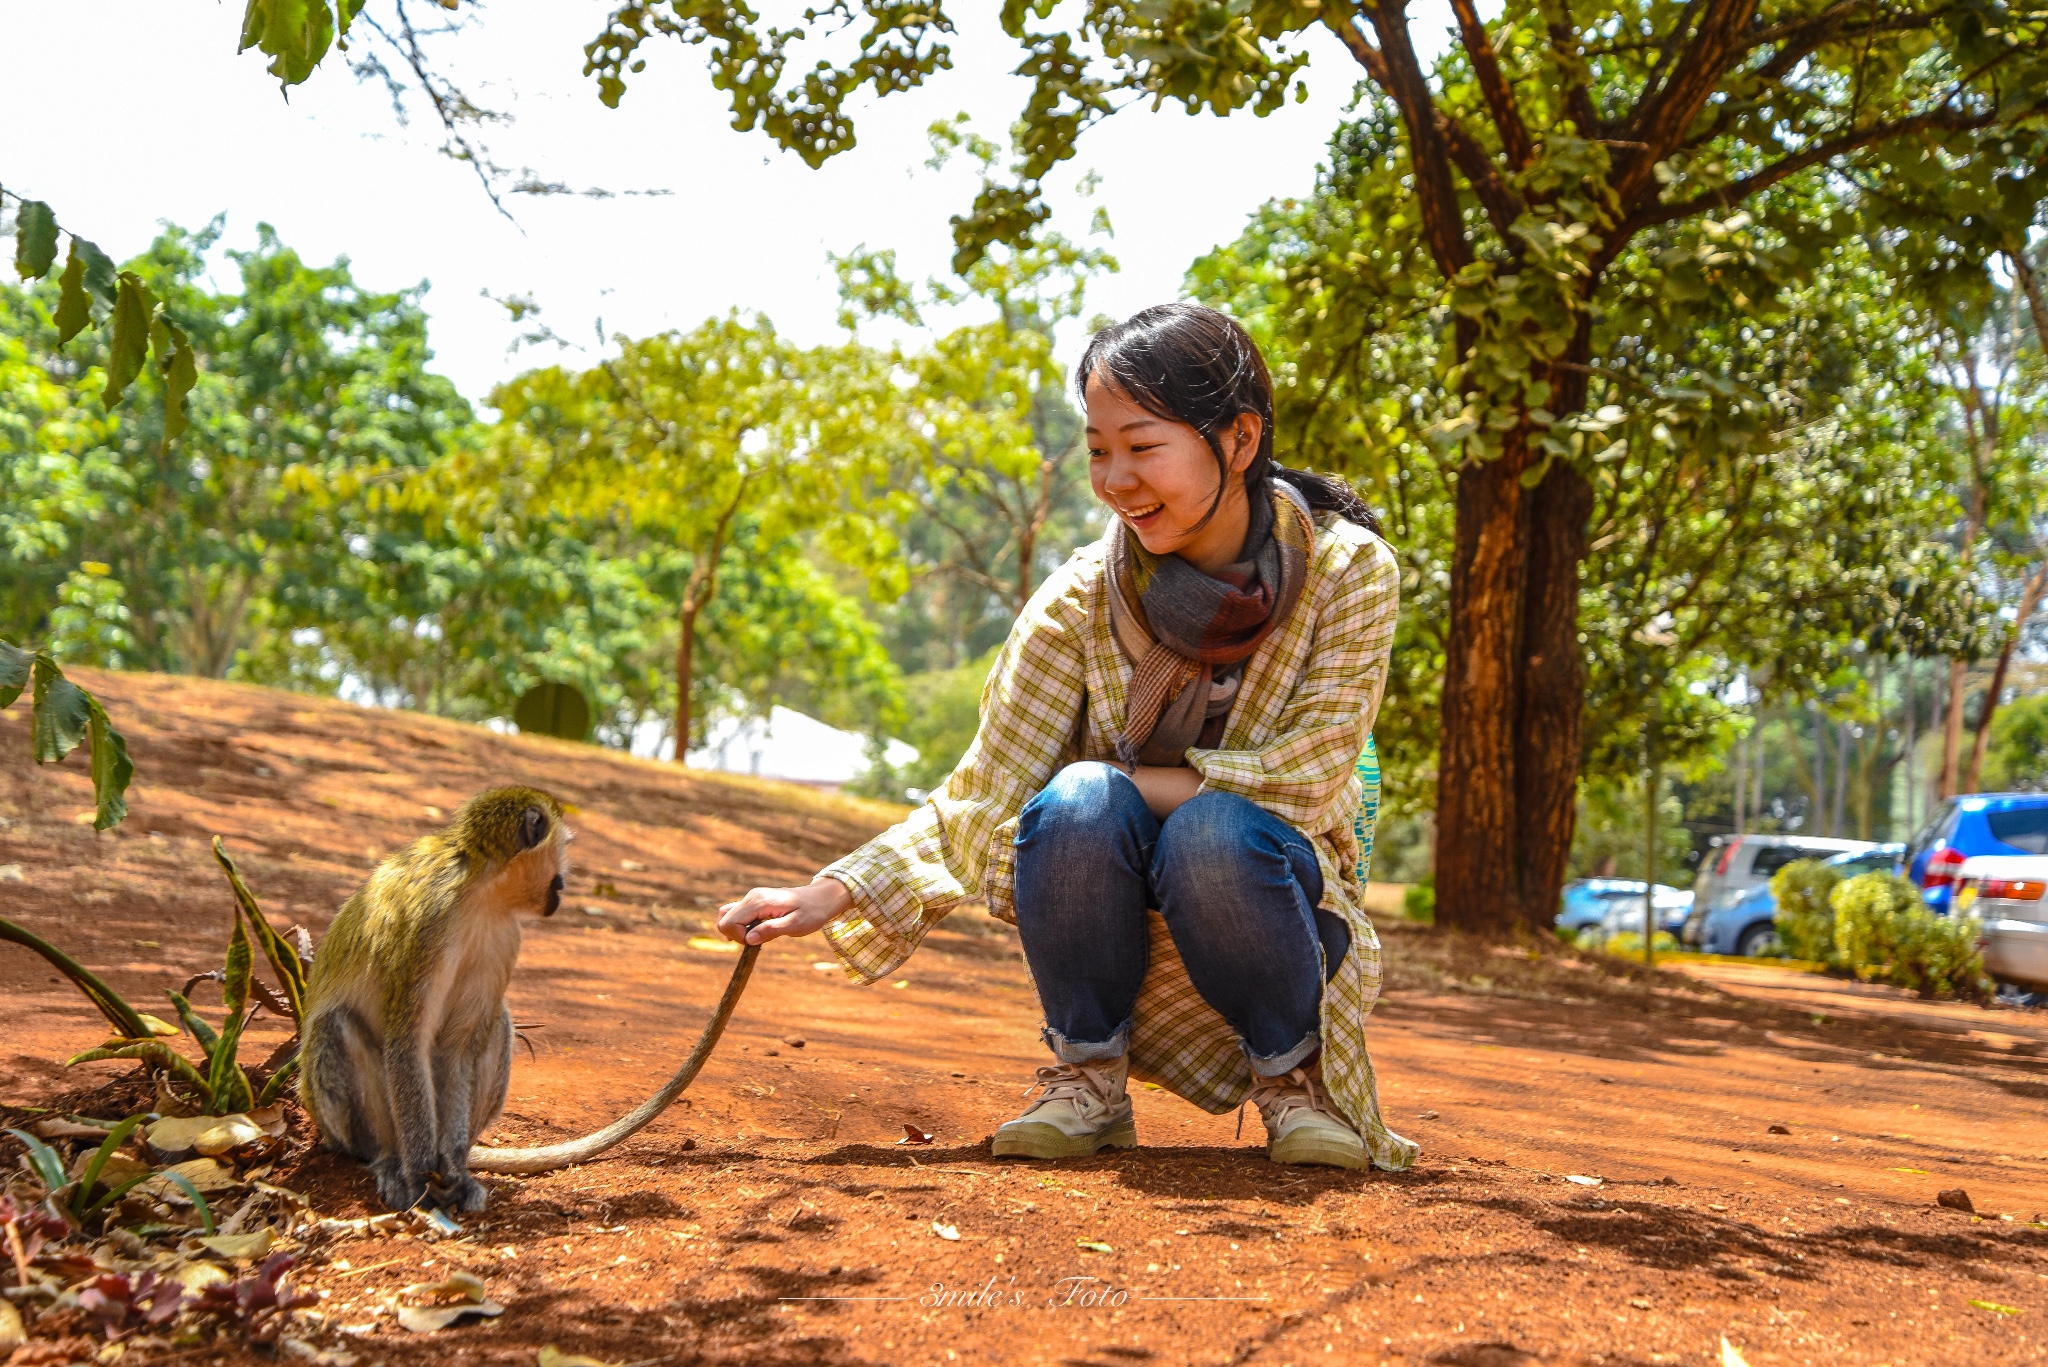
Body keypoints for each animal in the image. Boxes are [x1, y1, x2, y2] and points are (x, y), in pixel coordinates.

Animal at [299, 786, 569, 1213]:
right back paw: (389, 1161)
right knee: (334, 1024)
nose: (562, 884)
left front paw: (453, 1170)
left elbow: (456, 1048)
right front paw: (423, 1175)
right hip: (335, 1127)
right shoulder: (431, 921)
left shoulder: (505, 936)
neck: (479, 891)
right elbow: (408, 1042)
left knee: (497, 1023)